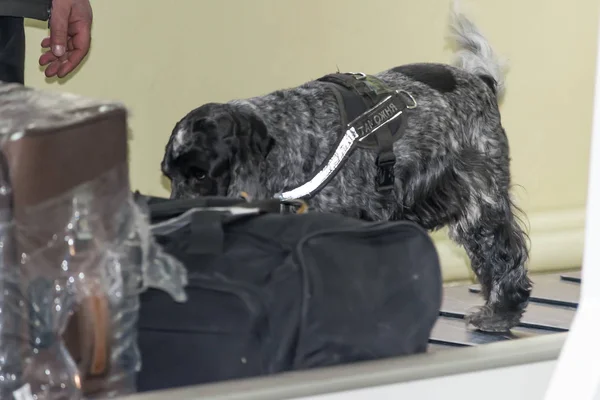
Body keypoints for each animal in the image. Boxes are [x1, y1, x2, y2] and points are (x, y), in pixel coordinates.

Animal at [162, 8, 532, 332]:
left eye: (200, 174)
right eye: (168, 175)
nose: (176, 219)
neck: (291, 135)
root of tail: (482, 81)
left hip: (480, 201)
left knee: (503, 252)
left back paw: (499, 313)